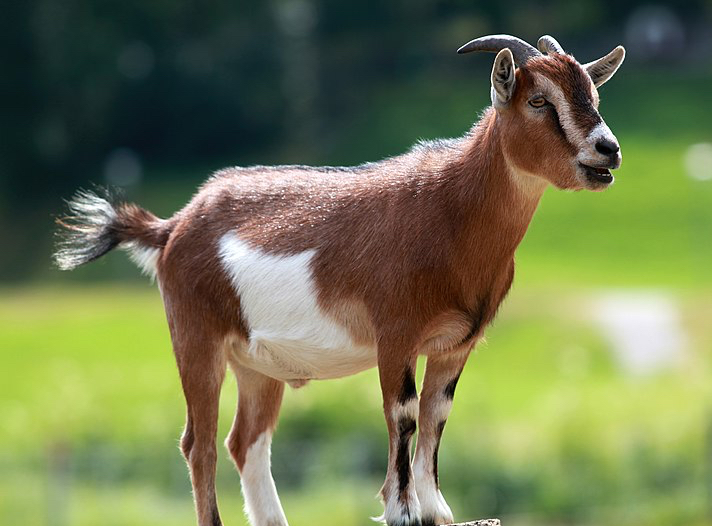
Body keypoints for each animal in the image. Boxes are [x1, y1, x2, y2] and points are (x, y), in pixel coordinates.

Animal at [54, 34, 625, 526]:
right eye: (538, 100)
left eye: (594, 95)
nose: (608, 150)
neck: (449, 211)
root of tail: (172, 226)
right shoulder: (395, 334)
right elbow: (404, 414)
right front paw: (402, 510)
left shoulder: (456, 344)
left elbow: (437, 415)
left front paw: (438, 510)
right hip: (196, 336)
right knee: (201, 442)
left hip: (255, 363)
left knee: (245, 440)